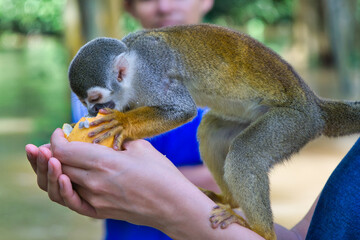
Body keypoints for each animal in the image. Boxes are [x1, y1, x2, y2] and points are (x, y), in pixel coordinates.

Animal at [67, 23, 360, 240]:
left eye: (96, 99)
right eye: (85, 103)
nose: (92, 112)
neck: (133, 70)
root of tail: (314, 105)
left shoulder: (152, 77)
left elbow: (182, 109)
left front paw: (122, 123)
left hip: (293, 122)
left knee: (245, 152)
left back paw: (260, 230)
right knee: (211, 129)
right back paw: (228, 198)